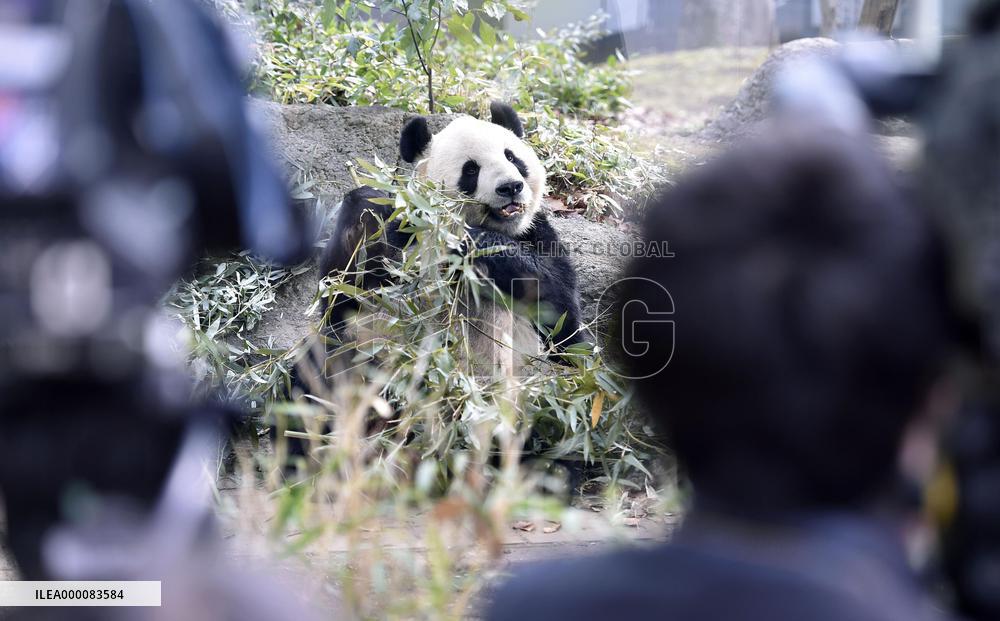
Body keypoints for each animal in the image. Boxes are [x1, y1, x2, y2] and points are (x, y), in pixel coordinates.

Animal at [316, 102, 586, 378]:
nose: (510, 187)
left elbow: (561, 313)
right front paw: (366, 208)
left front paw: (478, 242)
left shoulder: (536, 233)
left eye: (511, 157)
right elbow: (341, 303)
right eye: (471, 169)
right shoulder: (402, 242)